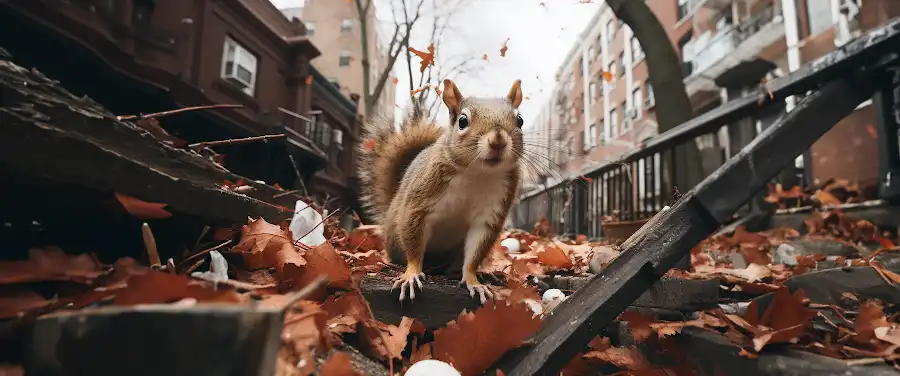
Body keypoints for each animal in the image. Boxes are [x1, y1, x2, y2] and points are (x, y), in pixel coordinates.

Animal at [356, 78, 528, 302]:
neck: (477, 173)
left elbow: (475, 252)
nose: (497, 141)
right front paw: (411, 274)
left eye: (520, 120)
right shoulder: (420, 203)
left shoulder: (490, 213)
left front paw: (473, 281)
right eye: (462, 121)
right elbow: (414, 242)